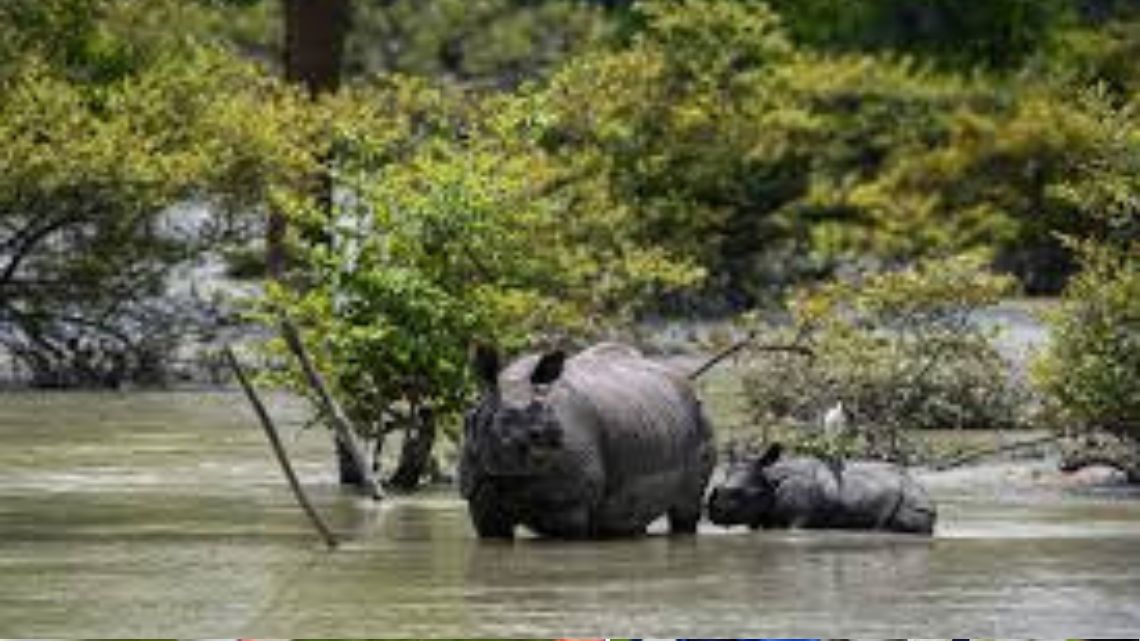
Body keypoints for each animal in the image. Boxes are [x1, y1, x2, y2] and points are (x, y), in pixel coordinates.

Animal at [459, 342, 716, 539]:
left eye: (548, 424)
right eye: (498, 421)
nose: (554, 436)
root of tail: (684, 381)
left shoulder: (569, 505)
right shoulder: (480, 495)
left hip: (699, 418)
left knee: (685, 512)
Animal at [707, 443, 936, 534]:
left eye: (744, 494)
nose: (715, 514)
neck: (770, 480)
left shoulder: (799, 519)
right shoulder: (759, 517)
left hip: (913, 502)